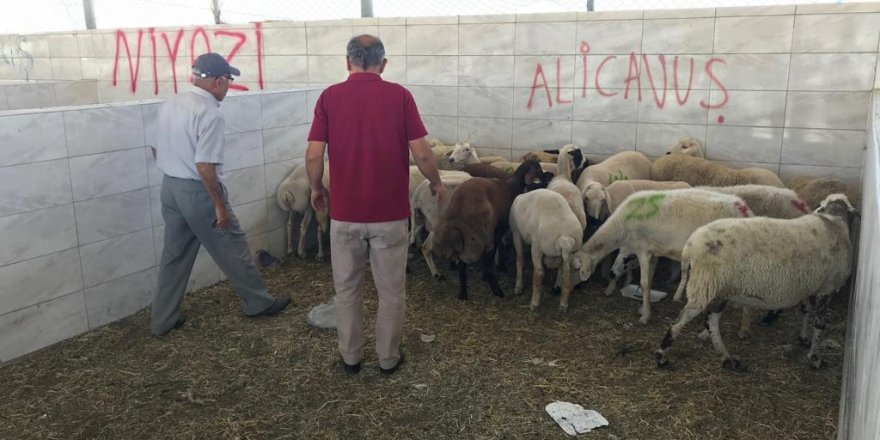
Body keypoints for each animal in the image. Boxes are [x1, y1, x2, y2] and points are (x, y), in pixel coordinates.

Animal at [432, 158, 544, 300]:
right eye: (538, 168)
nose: (545, 176)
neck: (514, 185)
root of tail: (458, 209)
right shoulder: (500, 228)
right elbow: (498, 249)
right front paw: (498, 267)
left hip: (467, 236)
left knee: (462, 264)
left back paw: (463, 294)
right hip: (480, 234)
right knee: (484, 259)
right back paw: (497, 291)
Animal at [660, 194, 860, 370]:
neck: (834, 221)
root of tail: (689, 247)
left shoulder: (811, 285)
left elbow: (806, 311)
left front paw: (803, 338)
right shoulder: (828, 287)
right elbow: (820, 324)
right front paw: (816, 358)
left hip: (720, 289)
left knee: (711, 323)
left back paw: (728, 359)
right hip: (705, 285)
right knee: (680, 321)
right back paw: (662, 356)